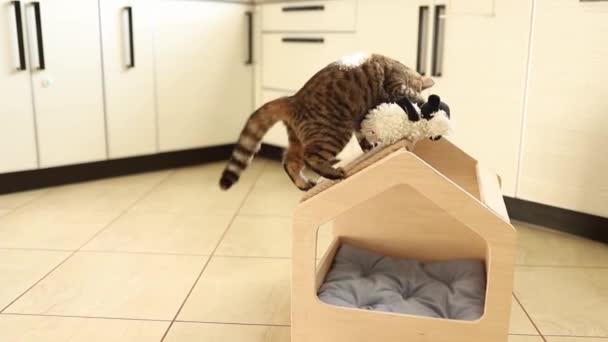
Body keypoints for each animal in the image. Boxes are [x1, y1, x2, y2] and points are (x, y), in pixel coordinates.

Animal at [217, 54, 432, 192]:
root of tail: (294, 98)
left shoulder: (359, 118)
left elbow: (362, 134)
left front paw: (369, 146)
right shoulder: (396, 86)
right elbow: (411, 97)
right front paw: (423, 105)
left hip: (301, 139)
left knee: (290, 161)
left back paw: (303, 183)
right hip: (333, 134)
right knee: (310, 158)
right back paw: (333, 173)